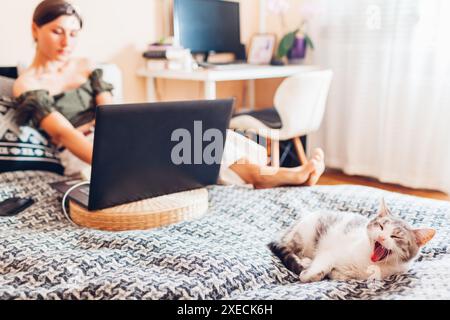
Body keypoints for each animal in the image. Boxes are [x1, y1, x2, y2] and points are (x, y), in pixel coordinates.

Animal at [268, 200, 434, 282]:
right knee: (289, 247)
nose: (382, 237)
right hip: (303, 235)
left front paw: (335, 273)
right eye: (381, 226)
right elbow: (323, 264)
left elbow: (341, 276)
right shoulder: (330, 251)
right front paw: (308, 275)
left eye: (396, 237)